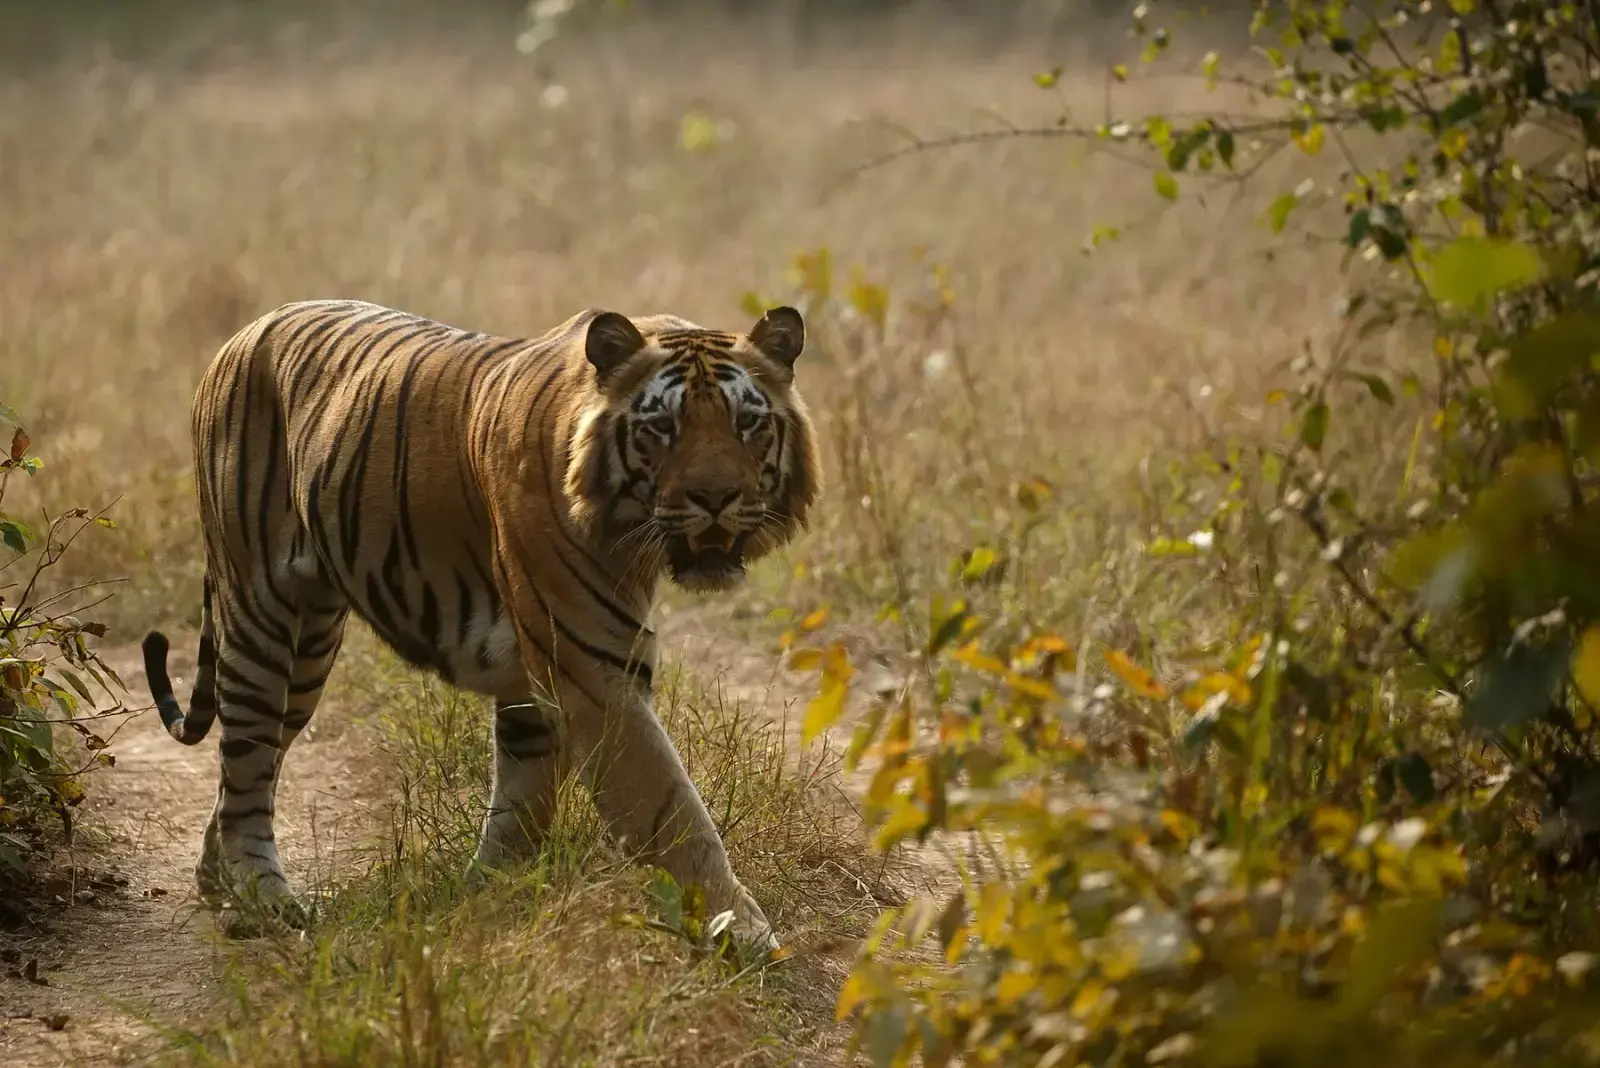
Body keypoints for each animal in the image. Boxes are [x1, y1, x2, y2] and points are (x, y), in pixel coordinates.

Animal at [139, 298, 821, 950]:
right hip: (258, 612)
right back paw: (264, 899)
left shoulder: (540, 682)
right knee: (247, 758)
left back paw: (217, 882)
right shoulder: (596, 674)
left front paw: (492, 896)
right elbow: (673, 811)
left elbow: (523, 800)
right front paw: (748, 935)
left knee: (248, 764)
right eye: (662, 427)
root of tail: (243, 334)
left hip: (308, 651)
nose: (717, 498)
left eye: (748, 423)